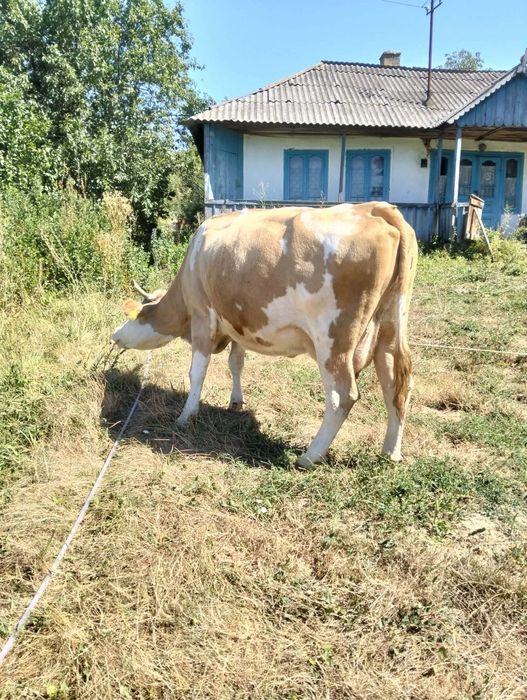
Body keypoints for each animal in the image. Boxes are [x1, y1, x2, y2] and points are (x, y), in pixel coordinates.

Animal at [112, 202, 418, 469]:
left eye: (136, 316)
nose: (114, 335)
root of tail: (375, 208)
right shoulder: (238, 325)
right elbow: (236, 363)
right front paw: (236, 401)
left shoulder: (202, 315)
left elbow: (197, 372)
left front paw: (186, 416)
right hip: (389, 330)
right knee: (396, 386)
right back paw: (390, 452)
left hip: (333, 341)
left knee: (343, 395)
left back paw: (310, 456)